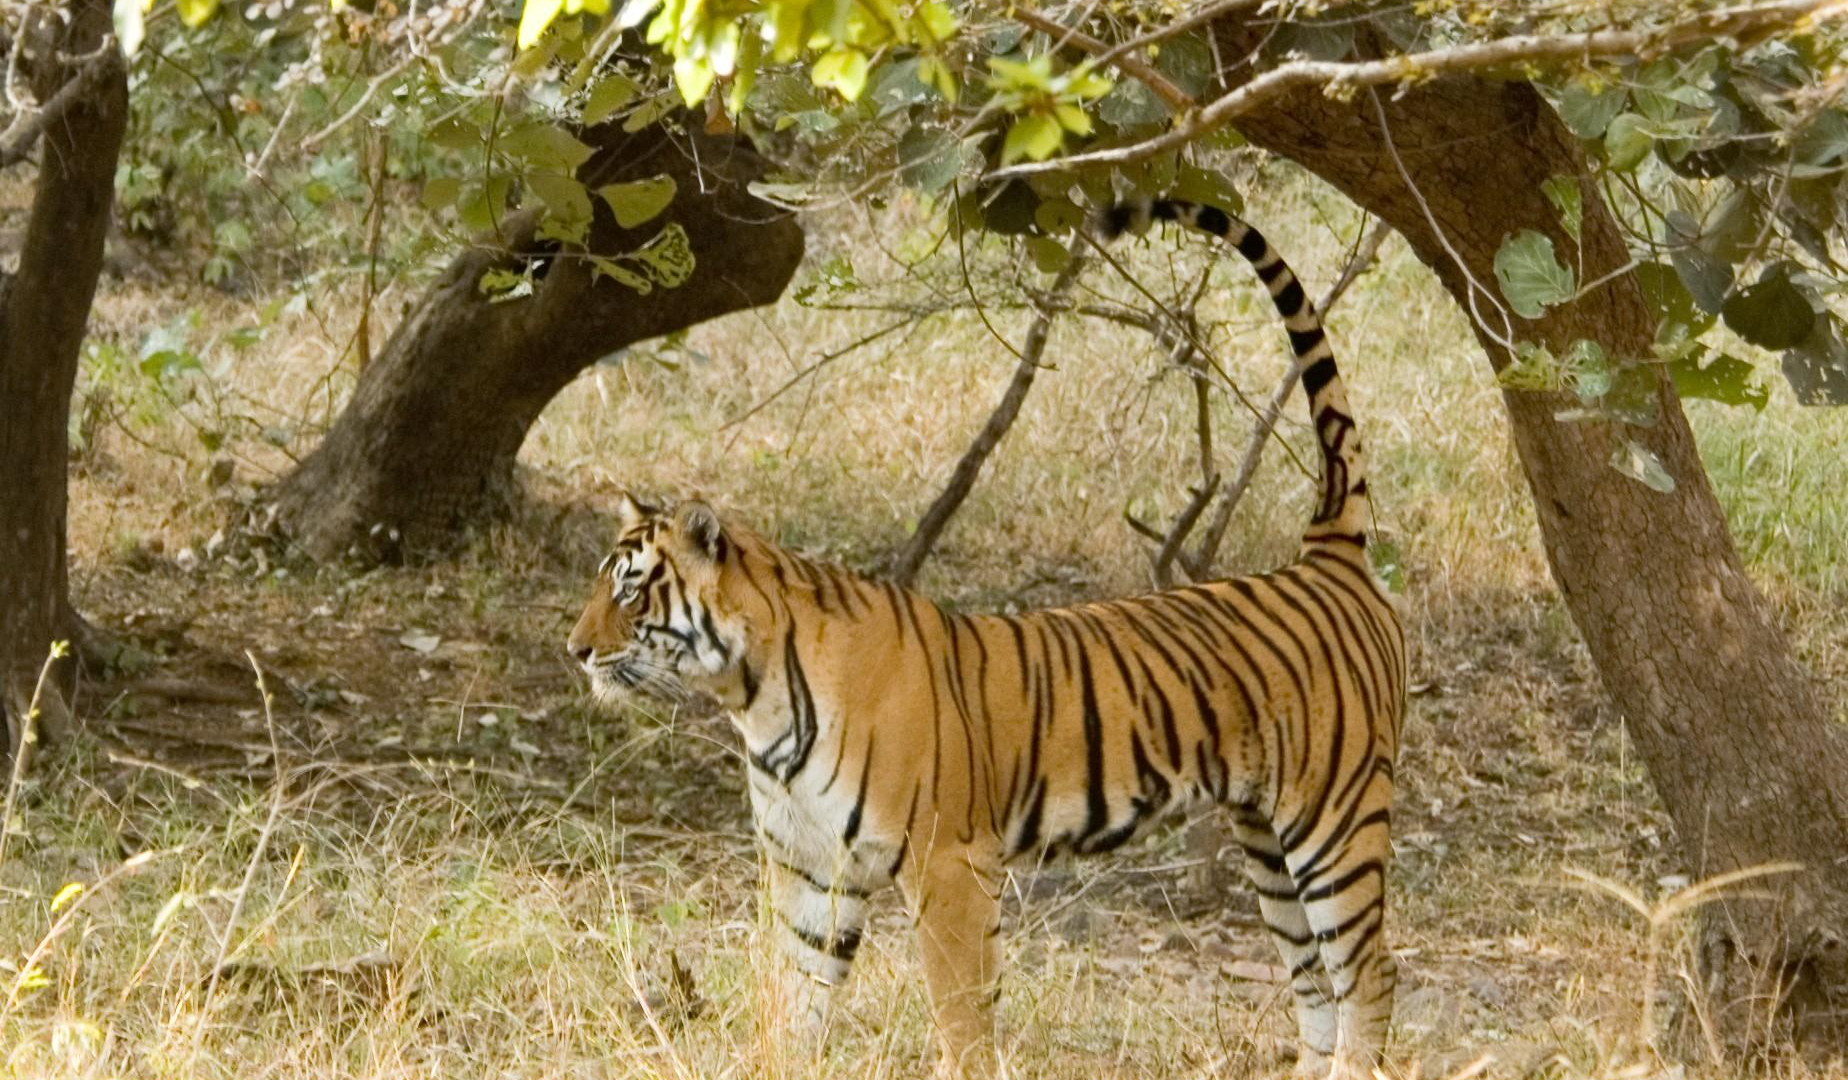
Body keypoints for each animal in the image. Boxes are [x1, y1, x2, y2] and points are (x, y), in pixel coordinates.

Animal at [567, 198, 1406, 1079]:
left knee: (1370, 971)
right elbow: (796, 1001)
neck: (752, 696)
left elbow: (961, 1015)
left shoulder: (948, 862)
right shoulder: (808, 867)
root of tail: (1326, 555)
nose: (576, 649)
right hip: (1266, 840)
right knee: (1314, 980)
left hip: (1335, 820)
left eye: (629, 588)